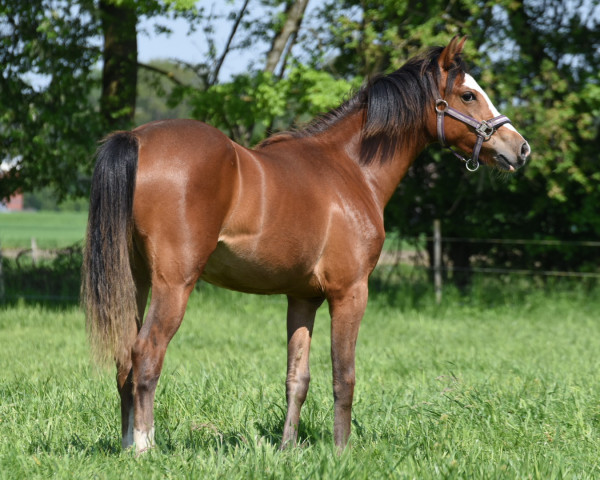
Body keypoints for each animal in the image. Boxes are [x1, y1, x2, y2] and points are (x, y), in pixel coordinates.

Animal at [81, 37, 528, 454]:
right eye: (468, 95)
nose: (520, 148)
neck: (350, 170)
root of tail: (136, 138)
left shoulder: (302, 297)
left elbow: (297, 378)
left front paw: (286, 448)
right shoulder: (350, 293)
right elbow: (344, 376)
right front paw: (342, 451)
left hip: (136, 280)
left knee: (124, 359)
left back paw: (127, 444)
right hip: (174, 285)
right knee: (146, 356)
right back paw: (144, 447)